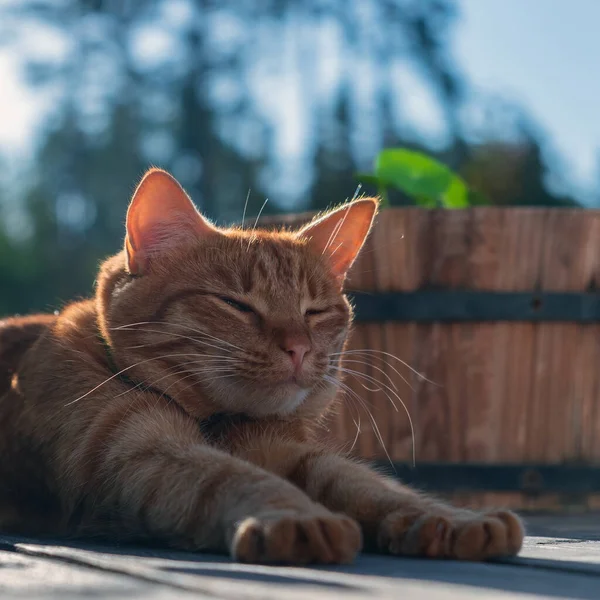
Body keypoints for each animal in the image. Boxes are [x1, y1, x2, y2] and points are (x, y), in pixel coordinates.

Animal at [0, 169, 524, 564]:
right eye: (237, 305)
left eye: (315, 311)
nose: (298, 348)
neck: (217, 422)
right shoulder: (139, 456)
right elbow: (232, 477)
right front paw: (300, 519)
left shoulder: (295, 454)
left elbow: (375, 488)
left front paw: (456, 518)